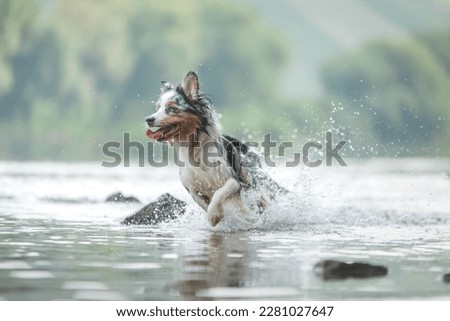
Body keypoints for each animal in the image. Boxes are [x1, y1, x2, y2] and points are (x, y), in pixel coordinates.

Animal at [144, 70, 284, 225]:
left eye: (171, 108)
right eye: (158, 108)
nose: (148, 120)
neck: (193, 149)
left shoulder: (233, 181)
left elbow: (219, 193)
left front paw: (215, 216)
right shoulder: (192, 189)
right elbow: (204, 204)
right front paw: (220, 215)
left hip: (248, 175)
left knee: (259, 196)